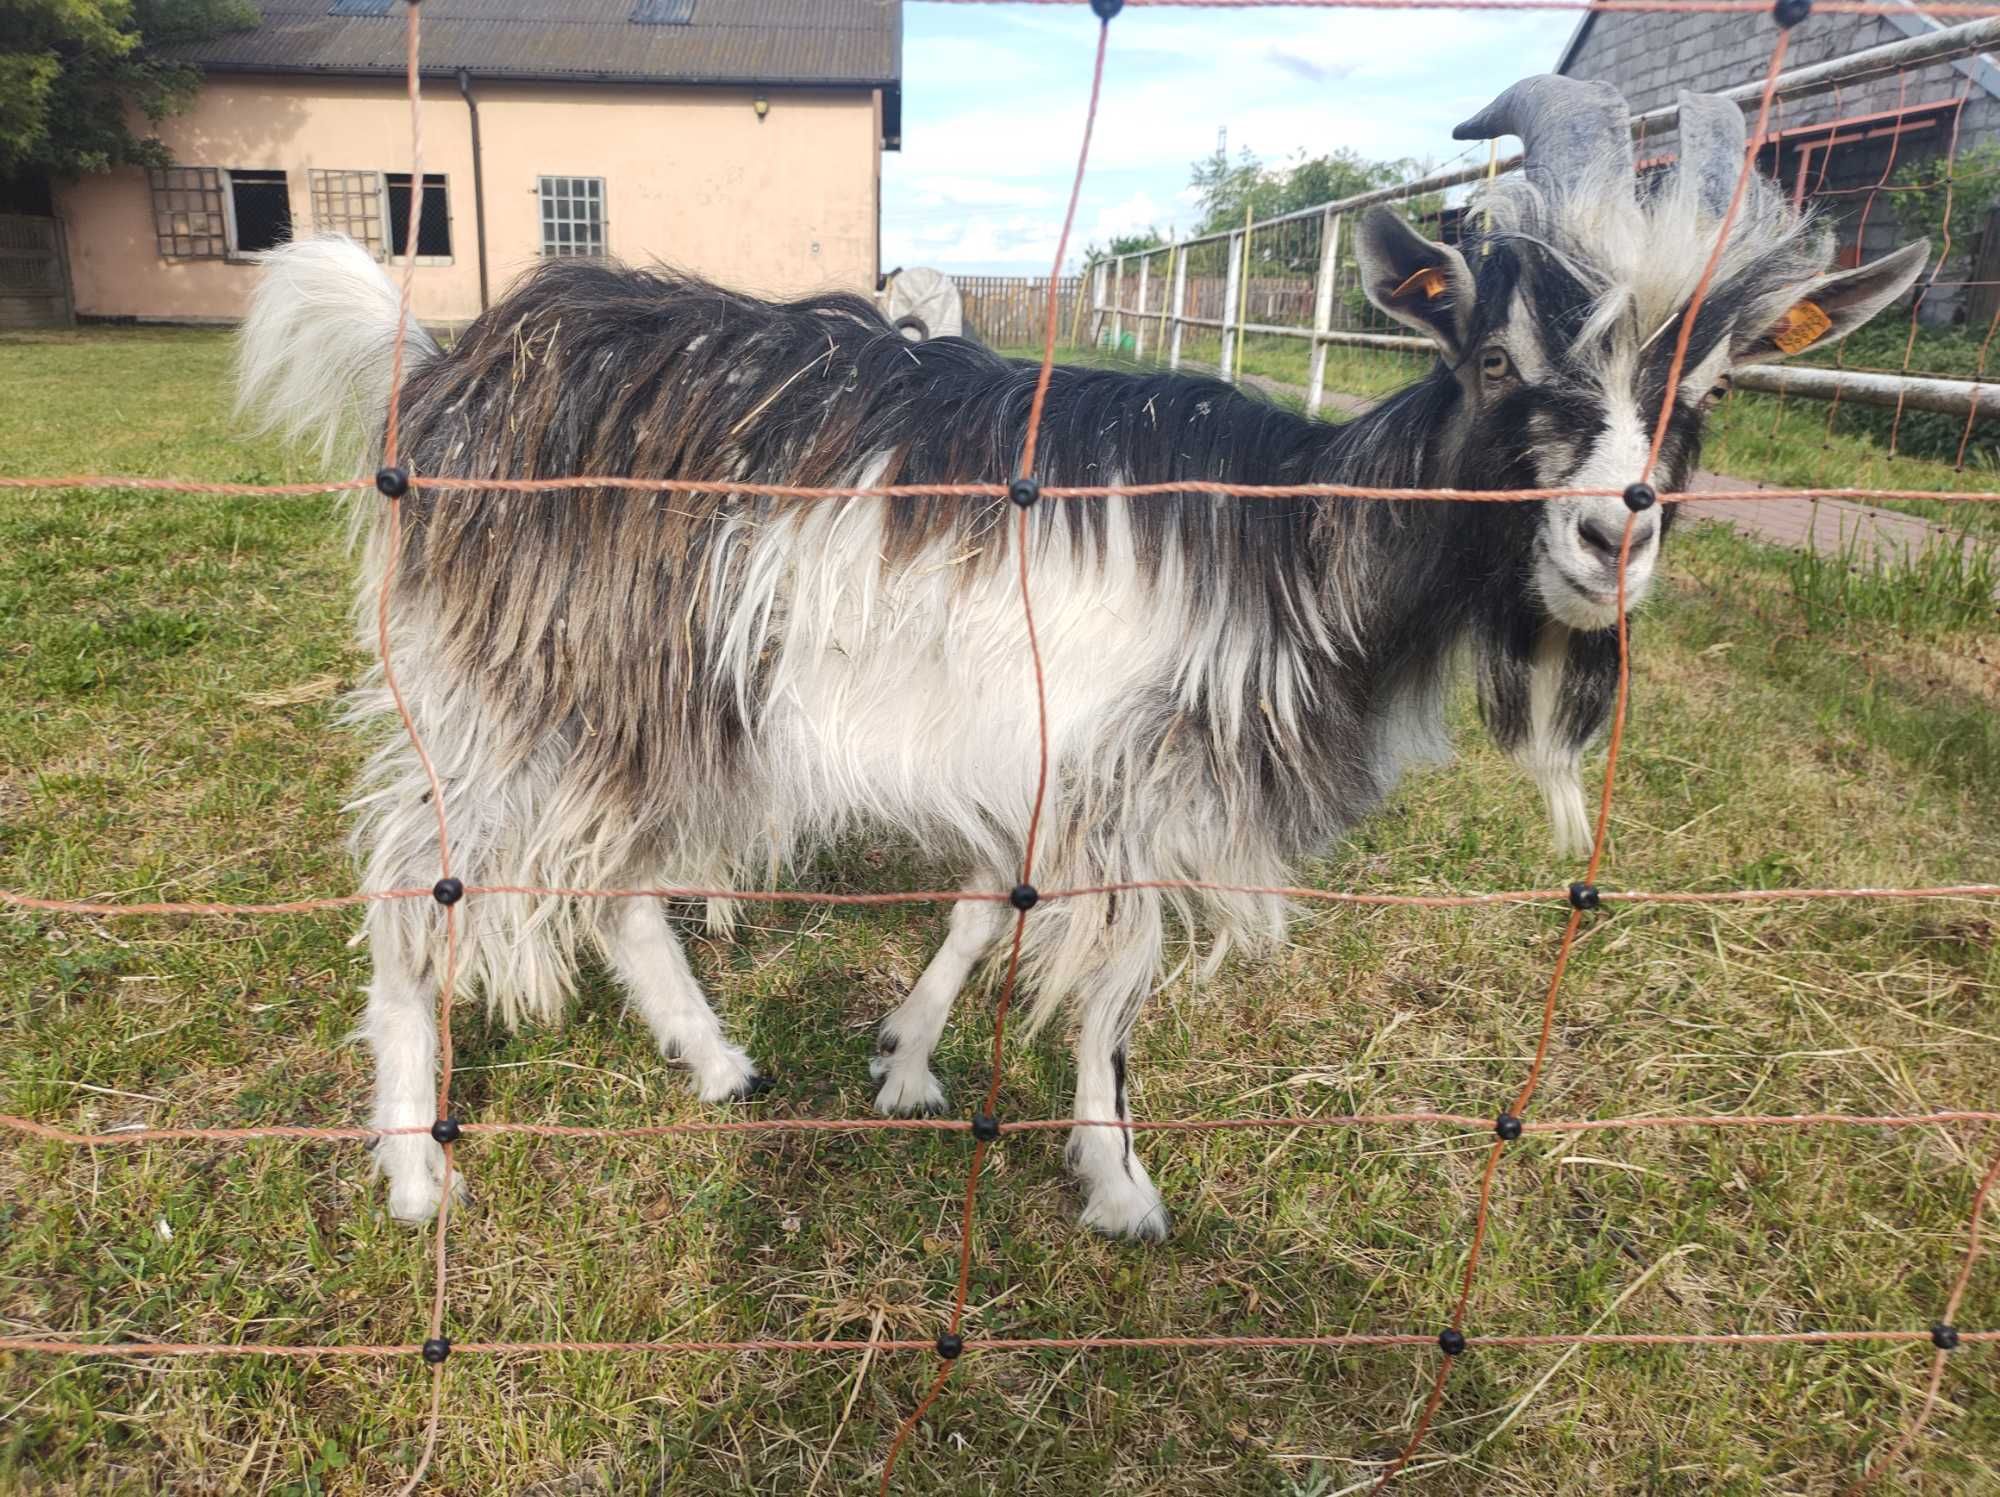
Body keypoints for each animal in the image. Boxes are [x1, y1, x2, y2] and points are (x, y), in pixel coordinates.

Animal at [242, 76, 1928, 1232]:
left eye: (1709, 385)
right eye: (1498, 362)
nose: (1608, 542)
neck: (1290, 537)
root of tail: (441, 369)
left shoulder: (1060, 760)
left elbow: (989, 905)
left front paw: (904, 1059)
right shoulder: (1136, 771)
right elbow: (1114, 982)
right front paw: (1116, 1177)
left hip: (656, 691)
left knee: (613, 882)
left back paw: (717, 1061)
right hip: (519, 680)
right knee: (414, 877)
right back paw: (414, 1170)